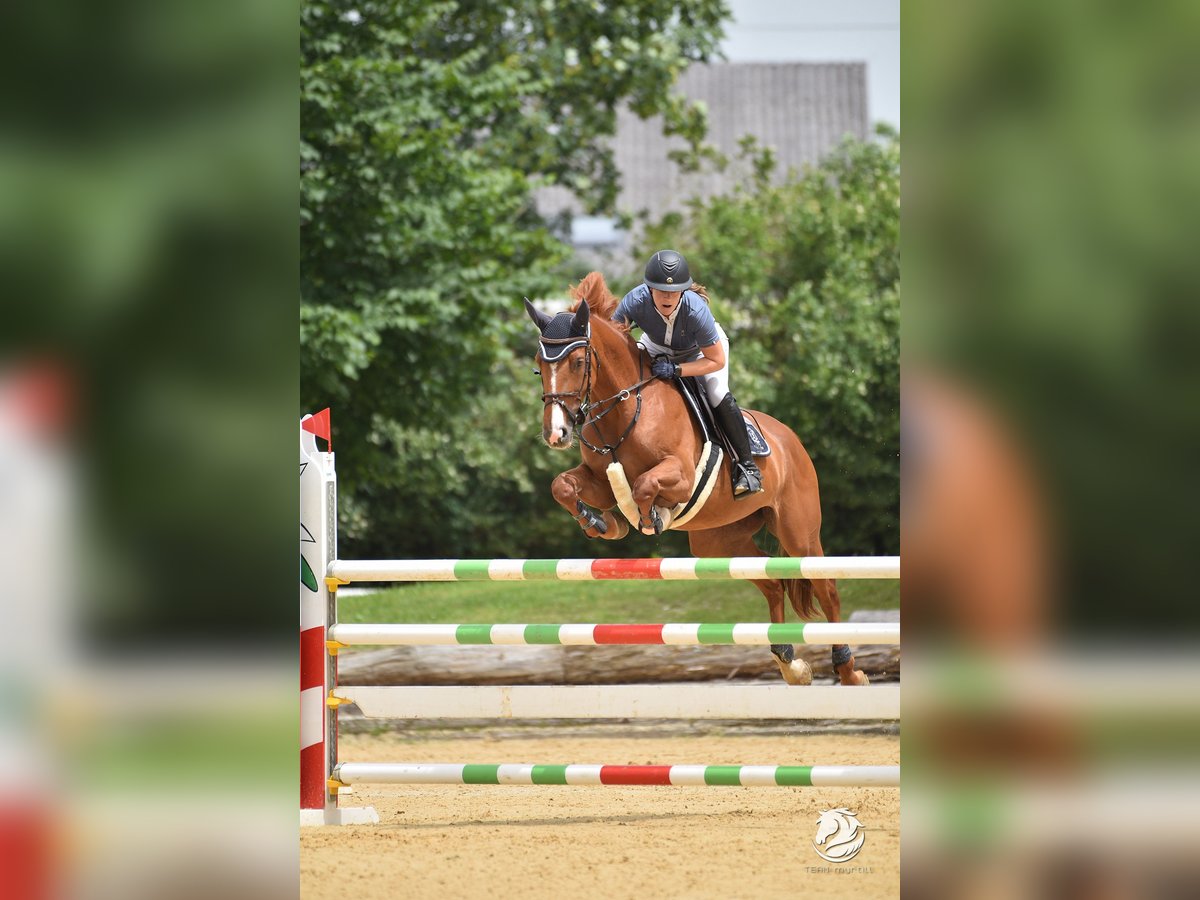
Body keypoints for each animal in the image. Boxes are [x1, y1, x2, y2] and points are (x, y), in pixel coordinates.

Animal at [530, 271, 868, 686]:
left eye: (578, 361)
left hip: (798, 532)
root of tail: (791, 441)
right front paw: (602, 524)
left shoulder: (681, 476)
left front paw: (650, 517)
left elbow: (644, 486)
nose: (556, 433)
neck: (626, 406)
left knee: (826, 588)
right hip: (718, 543)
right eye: (539, 364)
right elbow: (562, 486)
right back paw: (791, 664)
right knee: (773, 584)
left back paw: (848, 669)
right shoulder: (598, 480)